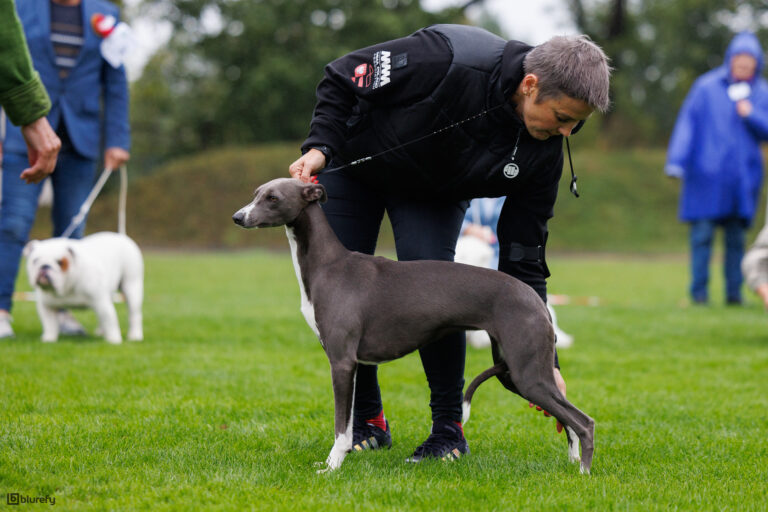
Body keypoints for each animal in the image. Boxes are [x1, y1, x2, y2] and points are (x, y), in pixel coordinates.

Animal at [232, 178, 592, 474]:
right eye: (256, 193)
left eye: (273, 198)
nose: (238, 217)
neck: (329, 265)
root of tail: (536, 299)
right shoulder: (353, 363)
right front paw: (336, 461)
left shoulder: (342, 362)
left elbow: (340, 427)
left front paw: (332, 467)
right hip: (514, 372)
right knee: (568, 420)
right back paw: (573, 460)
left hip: (527, 373)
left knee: (584, 421)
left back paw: (584, 472)